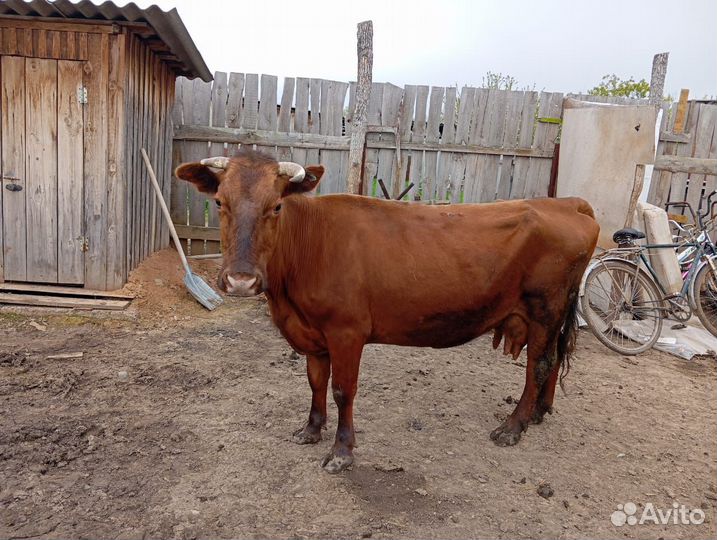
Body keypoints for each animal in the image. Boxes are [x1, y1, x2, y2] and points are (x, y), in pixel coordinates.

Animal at [175, 148, 600, 474]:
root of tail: (567, 203)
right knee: (551, 360)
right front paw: (311, 430)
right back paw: (539, 414)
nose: (241, 280)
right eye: (219, 202)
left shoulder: (347, 331)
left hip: (544, 308)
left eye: (276, 205)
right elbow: (315, 382)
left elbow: (342, 390)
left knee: (538, 365)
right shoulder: (313, 333)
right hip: (552, 314)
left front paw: (341, 453)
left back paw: (513, 427)